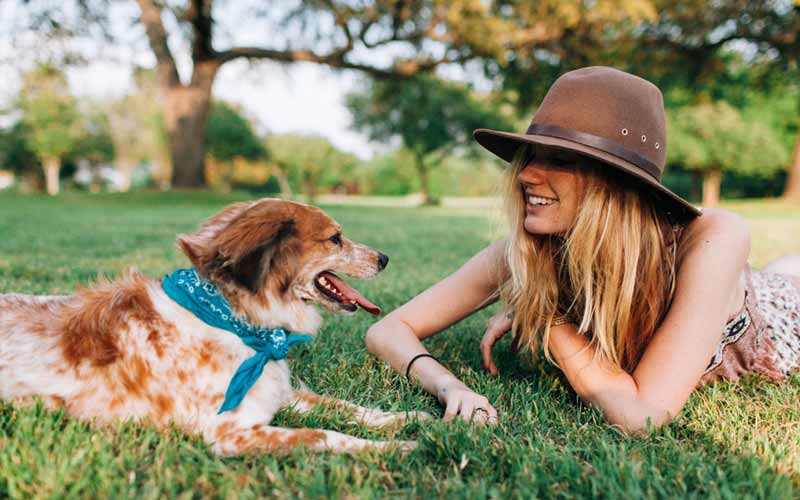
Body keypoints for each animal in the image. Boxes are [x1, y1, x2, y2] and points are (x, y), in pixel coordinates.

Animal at [0, 197, 424, 456]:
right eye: (335, 239)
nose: (385, 258)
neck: (235, 321)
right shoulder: (230, 434)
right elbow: (323, 434)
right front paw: (394, 449)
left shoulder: (277, 393)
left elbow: (344, 406)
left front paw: (408, 419)